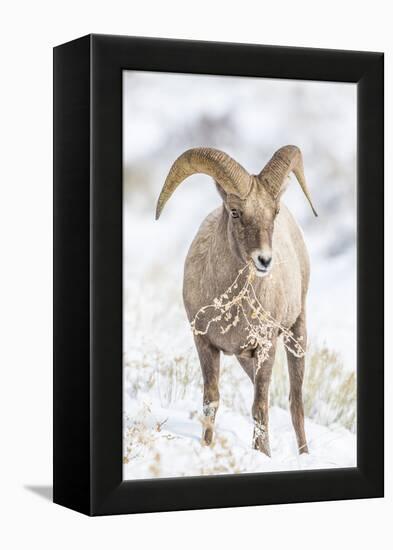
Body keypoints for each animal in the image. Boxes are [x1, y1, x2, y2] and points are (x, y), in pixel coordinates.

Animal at [155, 146, 316, 458]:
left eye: (274, 212)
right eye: (235, 212)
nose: (264, 260)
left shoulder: (266, 347)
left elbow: (260, 408)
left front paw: (262, 456)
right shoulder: (205, 344)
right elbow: (211, 401)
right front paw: (206, 447)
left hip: (296, 334)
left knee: (295, 403)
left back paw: (304, 456)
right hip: (245, 358)